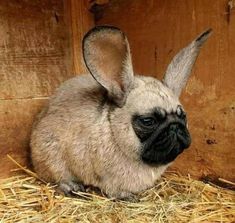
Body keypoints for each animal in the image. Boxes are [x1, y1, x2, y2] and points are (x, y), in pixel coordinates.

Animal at [29, 25, 211, 199]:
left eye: (183, 116)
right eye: (148, 121)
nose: (175, 126)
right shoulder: (108, 181)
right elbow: (113, 191)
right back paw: (71, 187)